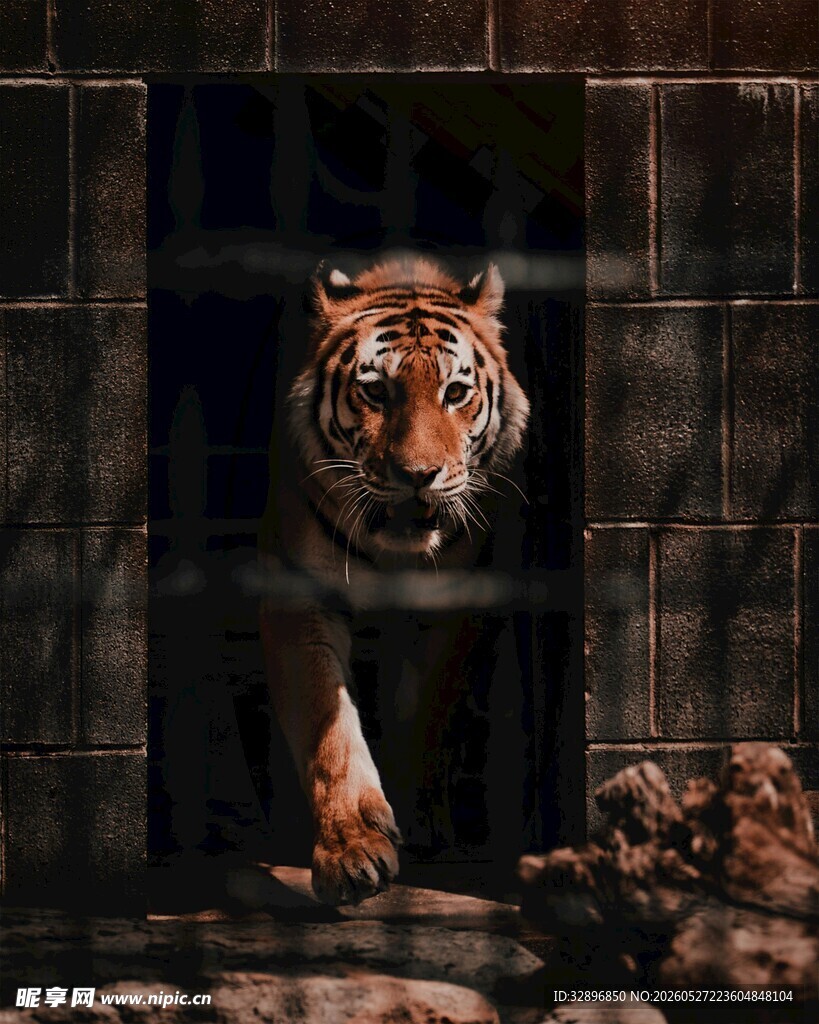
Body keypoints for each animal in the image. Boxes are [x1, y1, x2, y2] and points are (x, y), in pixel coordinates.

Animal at [259, 255, 530, 905]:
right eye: (375, 391)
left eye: (455, 392)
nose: (418, 474)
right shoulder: (298, 598)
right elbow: (329, 729)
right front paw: (352, 851)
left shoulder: (453, 608)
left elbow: (427, 714)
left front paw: (421, 818)